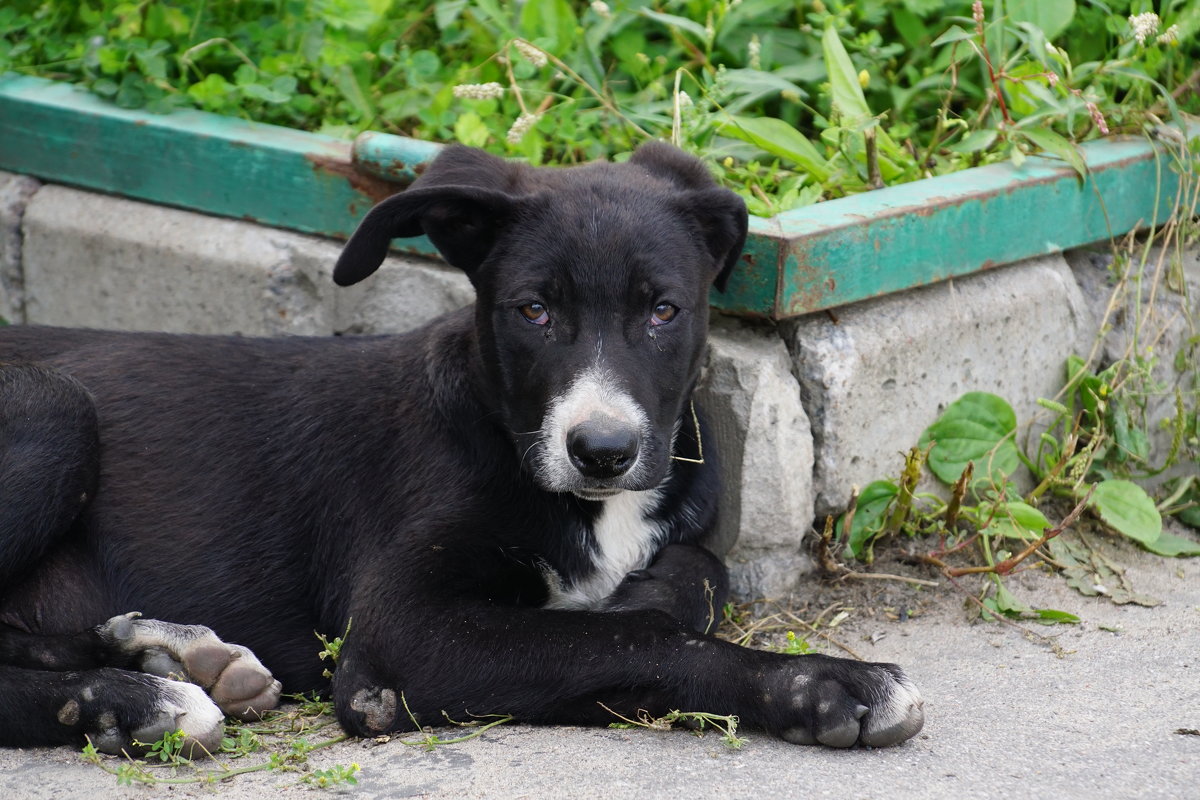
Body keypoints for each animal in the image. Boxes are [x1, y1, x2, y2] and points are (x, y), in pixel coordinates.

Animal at [0, 145, 921, 758]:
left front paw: (652, 592)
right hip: (54, 405)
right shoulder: (398, 632)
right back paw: (140, 700)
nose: (604, 450)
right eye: (533, 310)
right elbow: (638, 641)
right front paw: (825, 683)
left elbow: (696, 577)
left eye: (663, 310)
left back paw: (166, 649)